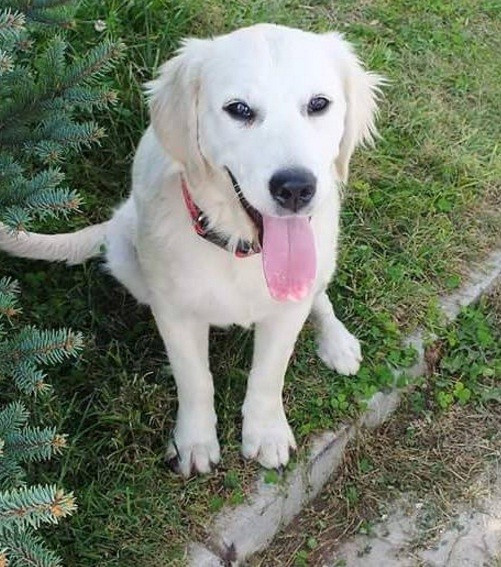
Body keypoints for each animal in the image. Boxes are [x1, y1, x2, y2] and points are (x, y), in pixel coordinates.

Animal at [0, 24, 382, 477]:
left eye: (319, 104)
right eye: (239, 109)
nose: (295, 188)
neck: (240, 247)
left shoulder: (287, 309)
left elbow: (269, 374)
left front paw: (266, 432)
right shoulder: (177, 314)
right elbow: (195, 379)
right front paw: (195, 442)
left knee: (318, 295)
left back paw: (337, 341)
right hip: (126, 254)